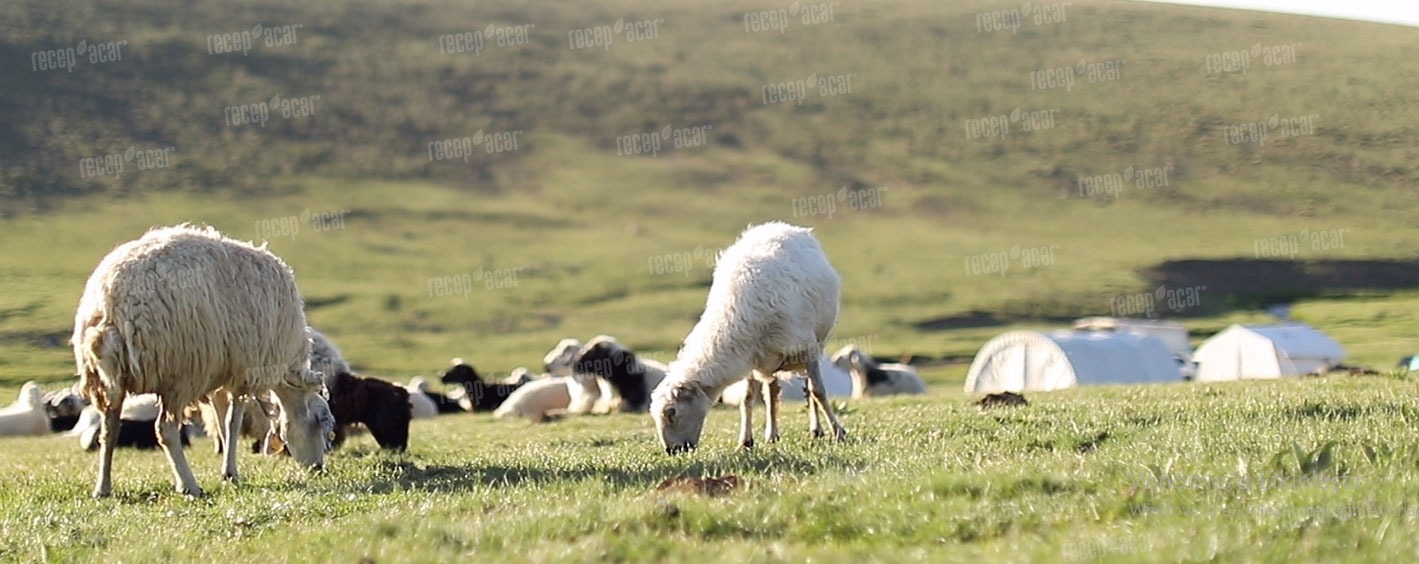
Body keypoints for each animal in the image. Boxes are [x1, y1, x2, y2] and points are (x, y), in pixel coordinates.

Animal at [72, 224, 332, 497]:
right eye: (319, 423)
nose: (319, 468)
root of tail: (109, 304)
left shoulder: (218, 375)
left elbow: (221, 422)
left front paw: (228, 471)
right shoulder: (245, 371)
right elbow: (232, 422)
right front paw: (230, 472)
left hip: (110, 380)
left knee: (109, 429)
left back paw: (103, 487)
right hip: (178, 376)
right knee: (165, 430)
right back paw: (188, 485)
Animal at [649, 221, 845, 454]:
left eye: (671, 413)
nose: (672, 451)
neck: (732, 318)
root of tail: (780, 226)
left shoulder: (806, 349)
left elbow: (819, 392)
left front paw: (838, 432)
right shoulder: (750, 359)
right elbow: (747, 399)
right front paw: (745, 441)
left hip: (815, 341)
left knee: (808, 389)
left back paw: (816, 429)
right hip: (770, 359)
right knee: (771, 392)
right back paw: (772, 434)